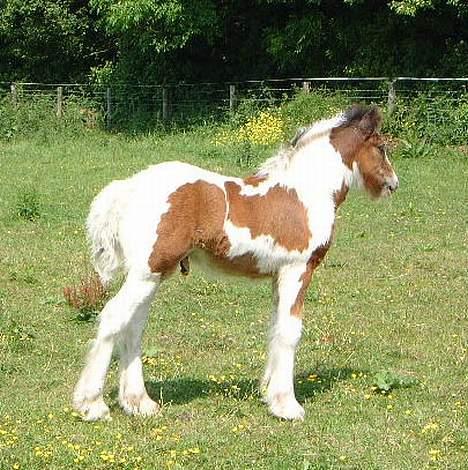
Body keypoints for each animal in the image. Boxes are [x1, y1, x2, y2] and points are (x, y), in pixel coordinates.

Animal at [73, 105, 398, 422]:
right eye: (381, 147)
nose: (392, 183)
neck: (306, 192)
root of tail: (128, 188)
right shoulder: (298, 269)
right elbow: (290, 331)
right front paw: (287, 405)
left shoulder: (278, 276)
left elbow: (275, 329)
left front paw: (269, 393)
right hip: (146, 273)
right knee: (113, 317)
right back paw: (92, 405)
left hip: (152, 273)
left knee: (133, 327)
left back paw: (139, 403)